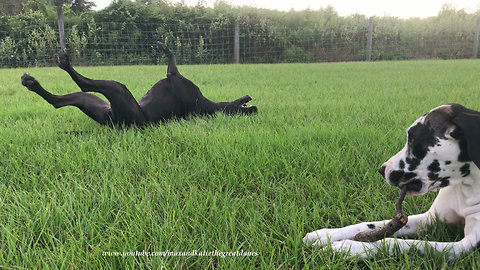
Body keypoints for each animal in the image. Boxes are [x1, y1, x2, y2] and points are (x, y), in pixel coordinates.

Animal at [22, 41, 256, 127]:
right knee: (58, 101)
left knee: (84, 84)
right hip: (93, 101)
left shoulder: (174, 76)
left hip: (116, 90)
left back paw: (61, 65)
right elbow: (171, 57)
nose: (254, 106)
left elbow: (172, 63)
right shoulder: (175, 77)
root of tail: (114, 122)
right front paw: (163, 47)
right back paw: (33, 83)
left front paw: (165, 49)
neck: (210, 106)